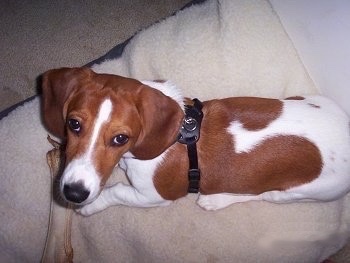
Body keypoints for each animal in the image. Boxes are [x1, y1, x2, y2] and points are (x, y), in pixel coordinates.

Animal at [41, 67, 350, 217]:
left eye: (120, 138)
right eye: (74, 124)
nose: (73, 193)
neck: (178, 134)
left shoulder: (154, 196)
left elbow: (116, 191)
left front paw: (90, 205)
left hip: (298, 192)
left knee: (262, 195)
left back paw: (215, 200)